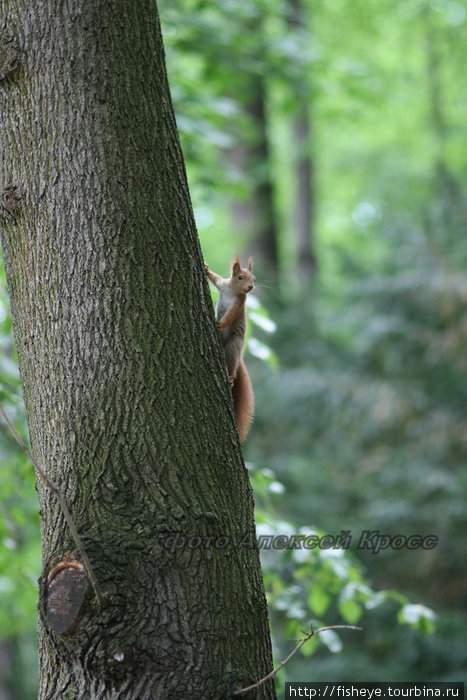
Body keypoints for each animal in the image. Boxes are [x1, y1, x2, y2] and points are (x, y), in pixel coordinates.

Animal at [205, 258, 256, 442]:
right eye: (240, 277)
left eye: (254, 279)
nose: (250, 287)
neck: (233, 290)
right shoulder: (222, 285)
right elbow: (215, 278)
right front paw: (206, 269)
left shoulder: (239, 303)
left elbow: (231, 315)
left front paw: (220, 324)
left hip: (234, 345)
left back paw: (231, 376)